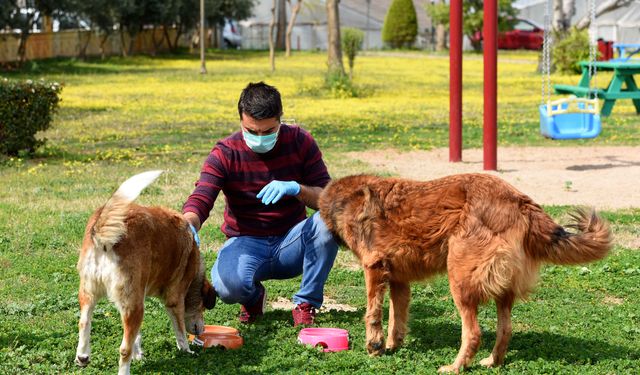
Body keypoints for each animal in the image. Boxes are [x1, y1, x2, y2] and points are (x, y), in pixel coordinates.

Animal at [75, 171, 218, 375]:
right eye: (204, 306)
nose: (202, 331)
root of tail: (103, 228)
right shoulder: (174, 299)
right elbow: (180, 330)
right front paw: (186, 351)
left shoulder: (138, 296)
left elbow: (136, 334)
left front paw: (139, 354)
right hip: (132, 303)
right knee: (123, 349)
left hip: (92, 293)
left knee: (84, 322)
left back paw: (82, 356)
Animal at [318, 173, 612, 374]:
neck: (348, 199)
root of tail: (520, 201)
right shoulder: (400, 280)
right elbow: (396, 319)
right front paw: (391, 345)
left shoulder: (374, 268)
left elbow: (374, 314)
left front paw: (374, 345)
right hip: (502, 287)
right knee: (505, 329)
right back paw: (492, 361)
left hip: (459, 279)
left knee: (473, 333)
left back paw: (455, 367)